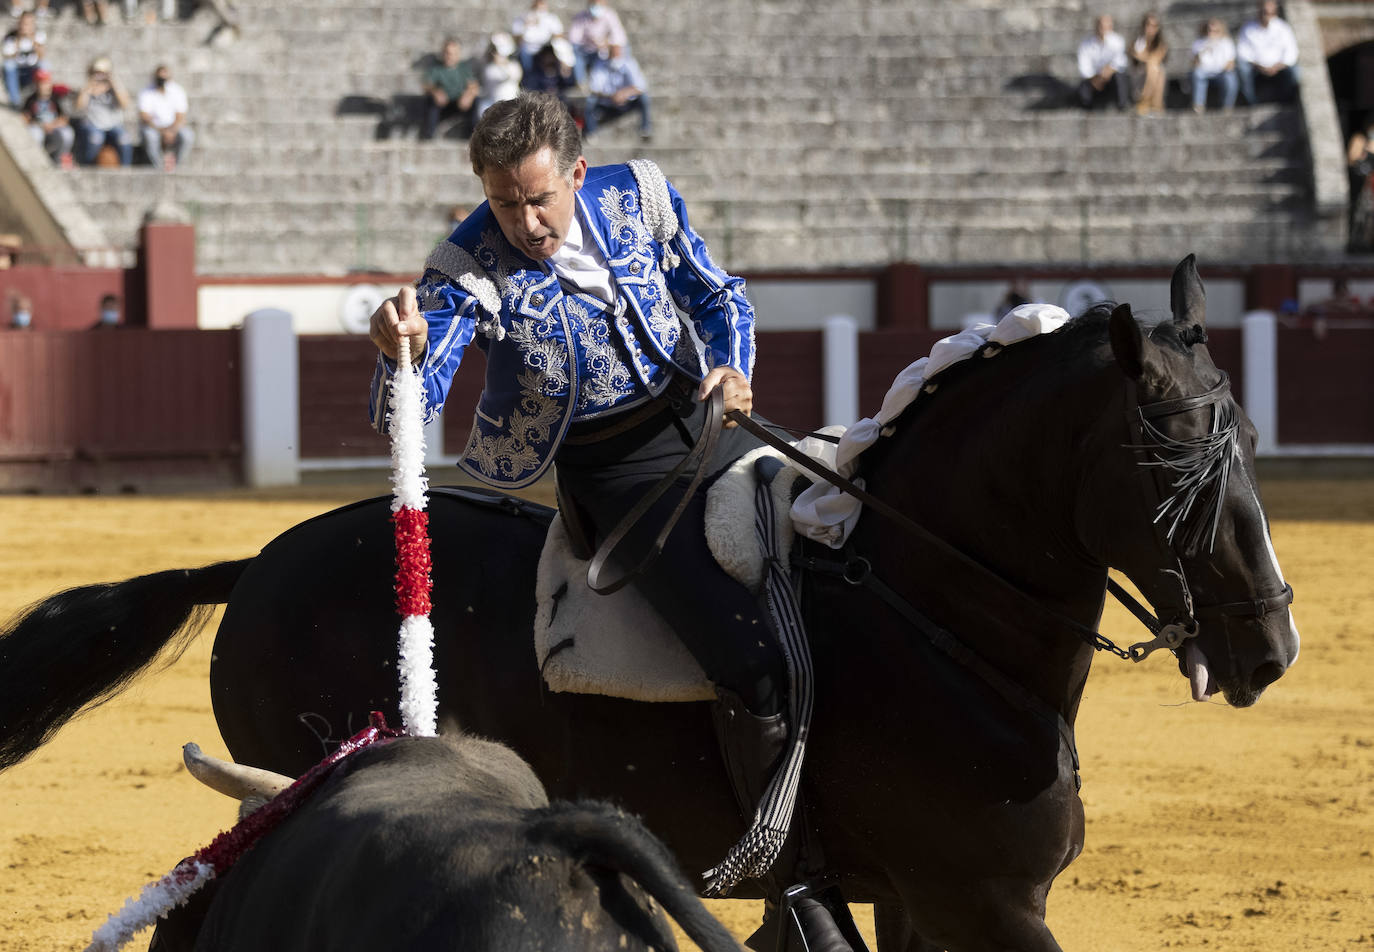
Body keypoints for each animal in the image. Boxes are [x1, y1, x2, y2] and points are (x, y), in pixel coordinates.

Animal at [0, 258, 1297, 950]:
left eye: (1244, 439)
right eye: (1173, 463)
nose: (1272, 644)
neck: (929, 615)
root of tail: (259, 559)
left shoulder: (925, 902)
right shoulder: (986, 901)